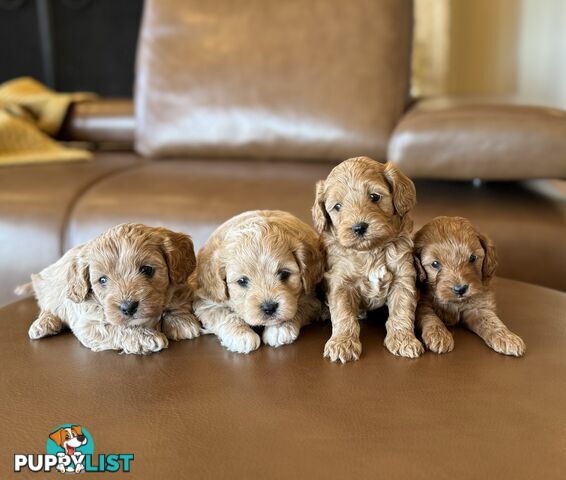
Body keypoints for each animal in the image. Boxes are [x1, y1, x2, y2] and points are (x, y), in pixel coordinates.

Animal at [18, 223, 201, 354]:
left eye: (147, 270)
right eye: (103, 280)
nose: (128, 307)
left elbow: (177, 297)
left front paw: (181, 321)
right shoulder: (87, 322)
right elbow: (114, 328)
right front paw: (145, 337)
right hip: (49, 287)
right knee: (47, 306)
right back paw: (43, 324)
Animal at [195, 209, 326, 352]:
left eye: (284, 274)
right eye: (242, 281)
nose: (269, 308)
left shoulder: (311, 297)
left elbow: (297, 307)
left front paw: (279, 328)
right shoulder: (208, 300)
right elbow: (224, 314)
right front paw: (241, 335)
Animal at [312, 156, 424, 362]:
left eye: (374, 197)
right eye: (337, 206)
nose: (359, 227)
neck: (371, 252)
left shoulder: (403, 278)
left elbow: (402, 310)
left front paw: (403, 339)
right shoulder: (340, 282)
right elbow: (343, 314)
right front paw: (342, 343)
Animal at [412, 218, 528, 356]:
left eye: (472, 258)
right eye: (435, 264)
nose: (460, 289)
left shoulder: (478, 306)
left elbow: (491, 321)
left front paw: (507, 337)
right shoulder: (422, 304)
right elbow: (430, 316)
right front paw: (439, 335)